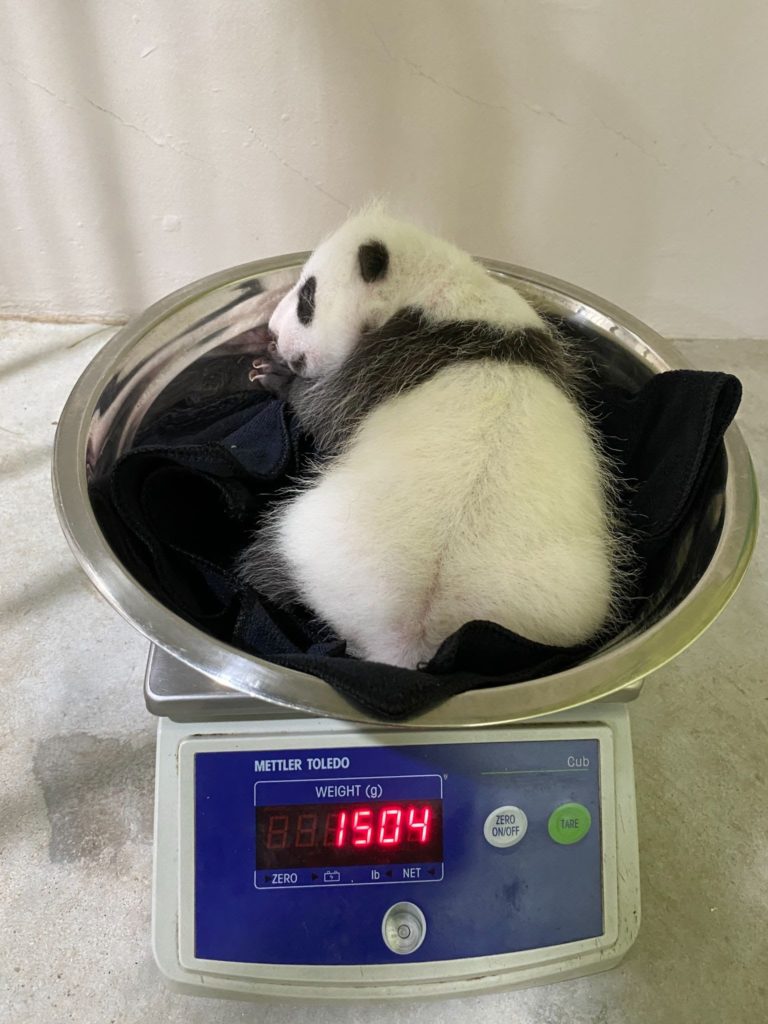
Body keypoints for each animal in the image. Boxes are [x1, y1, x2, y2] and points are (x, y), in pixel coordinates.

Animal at [240, 208, 628, 670]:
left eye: (307, 299)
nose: (273, 332)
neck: (439, 285)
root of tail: (413, 637)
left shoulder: (389, 358)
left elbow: (325, 412)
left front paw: (277, 376)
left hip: (299, 542)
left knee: (261, 570)